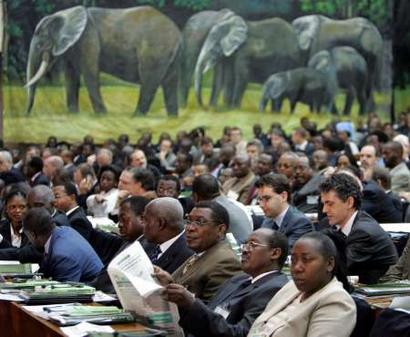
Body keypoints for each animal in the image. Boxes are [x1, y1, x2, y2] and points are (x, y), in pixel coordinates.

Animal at [24, 4, 181, 115]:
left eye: (41, 43)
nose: (26, 114)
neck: (64, 14)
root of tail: (177, 32)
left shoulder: (88, 38)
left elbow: (90, 73)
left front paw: (102, 115)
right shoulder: (72, 47)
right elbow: (71, 77)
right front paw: (73, 114)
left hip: (155, 49)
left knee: (149, 81)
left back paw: (136, 117)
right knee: (170, 83)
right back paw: (172, 118)